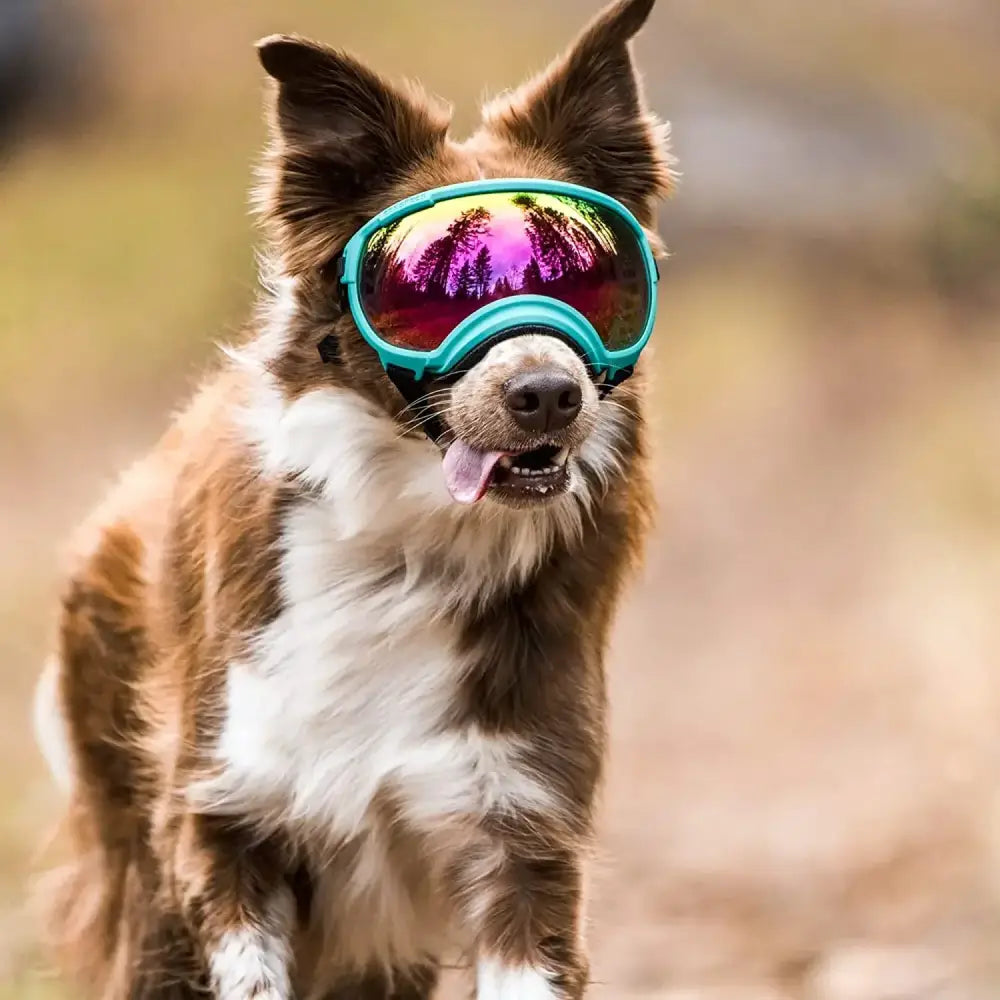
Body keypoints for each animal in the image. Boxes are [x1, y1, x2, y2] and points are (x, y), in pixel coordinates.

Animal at [31, 3, 672, 996]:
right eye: (427, 291)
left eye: (589, 278)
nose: (548, 394)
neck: (408, 550)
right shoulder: (222, 821)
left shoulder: (523, 835)